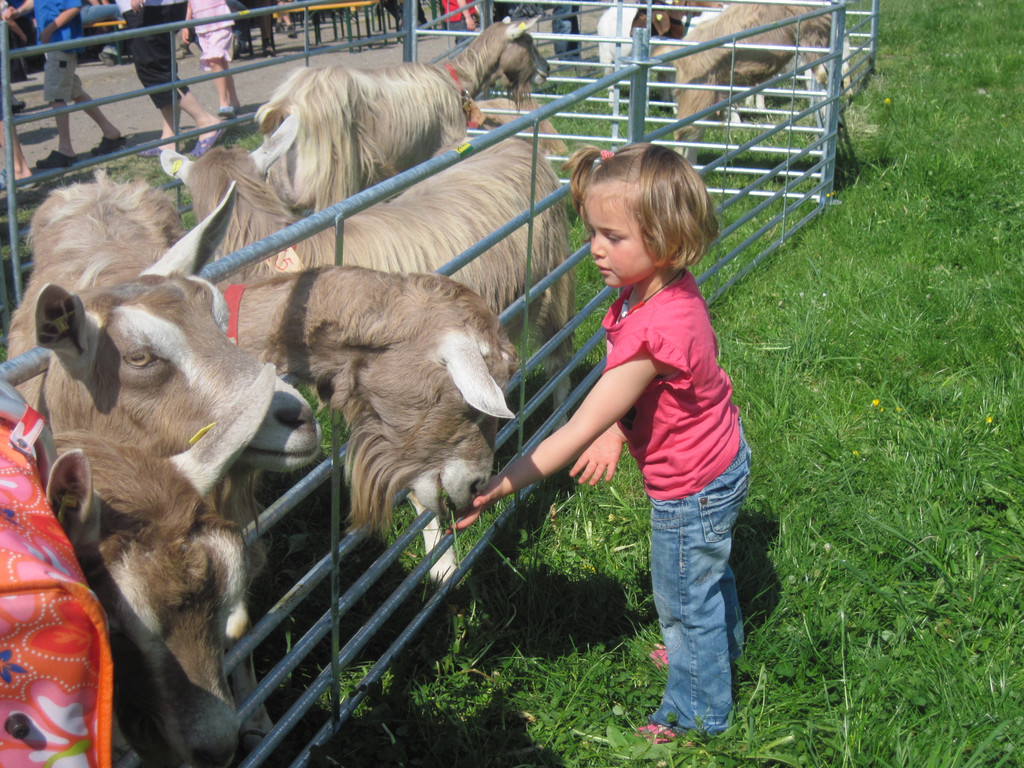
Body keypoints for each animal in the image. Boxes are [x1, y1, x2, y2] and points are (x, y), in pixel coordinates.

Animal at [254, 17, 550, 210]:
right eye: (528, 40)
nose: (547, 68)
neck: (457, 78)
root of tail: (290, 105)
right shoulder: (446, 143)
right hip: (333, 185)